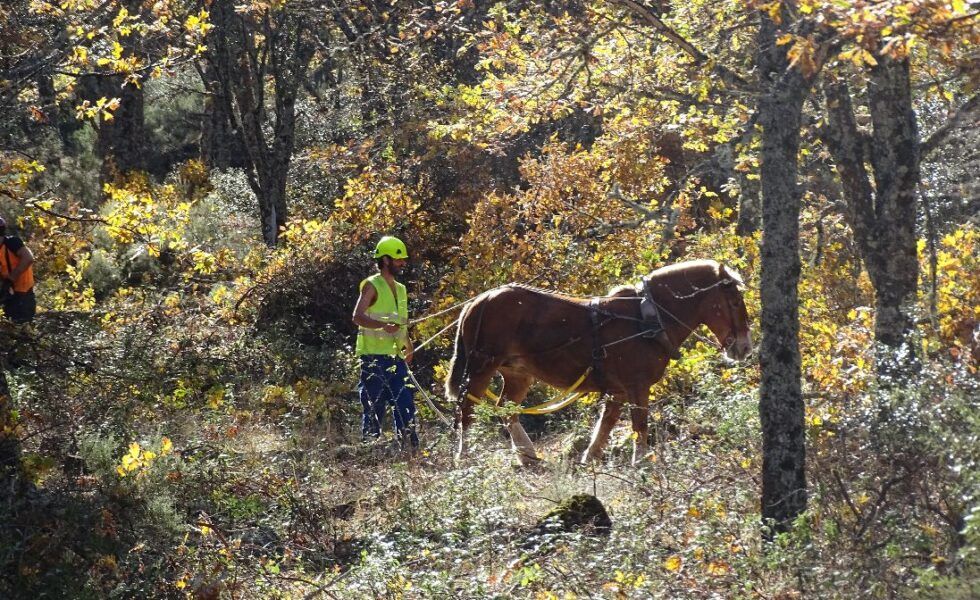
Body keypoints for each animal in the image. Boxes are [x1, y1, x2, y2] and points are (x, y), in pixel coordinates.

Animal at [448, 258, 756, 464]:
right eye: (734, 302)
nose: (744, 347)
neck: (646, 319)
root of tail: (478, 301)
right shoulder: (637, 386)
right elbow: (639, 424)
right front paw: (640, 462)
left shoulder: (618, 390)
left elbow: (607, 423)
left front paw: (590, 457)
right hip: (482, 367)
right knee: (467, 409)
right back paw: (464, 457)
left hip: (517, 373)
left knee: (506, 410)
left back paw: (527, 455)